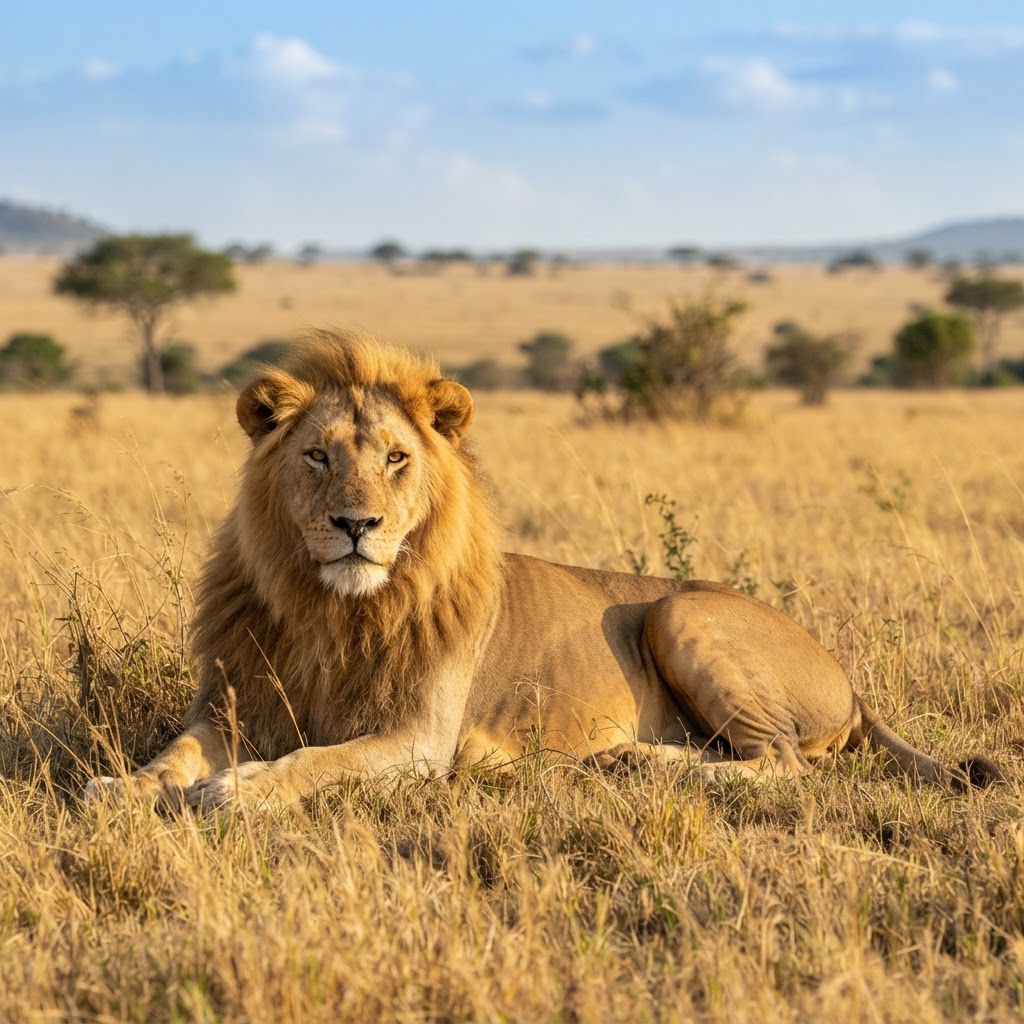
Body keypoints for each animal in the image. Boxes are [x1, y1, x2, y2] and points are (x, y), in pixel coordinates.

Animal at [85, 329, 1001, 810]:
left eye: (395, 459)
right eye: (317, 457)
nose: (356, 525)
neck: (329, 610)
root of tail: (849, 679)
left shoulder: (419, 738)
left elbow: (316, 762)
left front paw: (233, 793)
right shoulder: (231, 704)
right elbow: (174, 753)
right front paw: (121, 789)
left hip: (681, 612)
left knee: (781, 765)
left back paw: (637, 763)